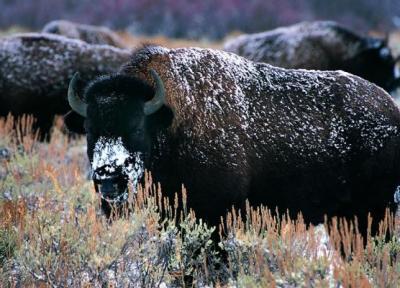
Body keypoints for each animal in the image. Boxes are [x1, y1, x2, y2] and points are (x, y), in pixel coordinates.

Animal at [65, 45, 400, 234]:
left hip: (373, 214)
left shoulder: (214, 216)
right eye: (90, 131)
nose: (108, 180)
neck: (170, 120)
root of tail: (391, 109)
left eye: (135, 128)